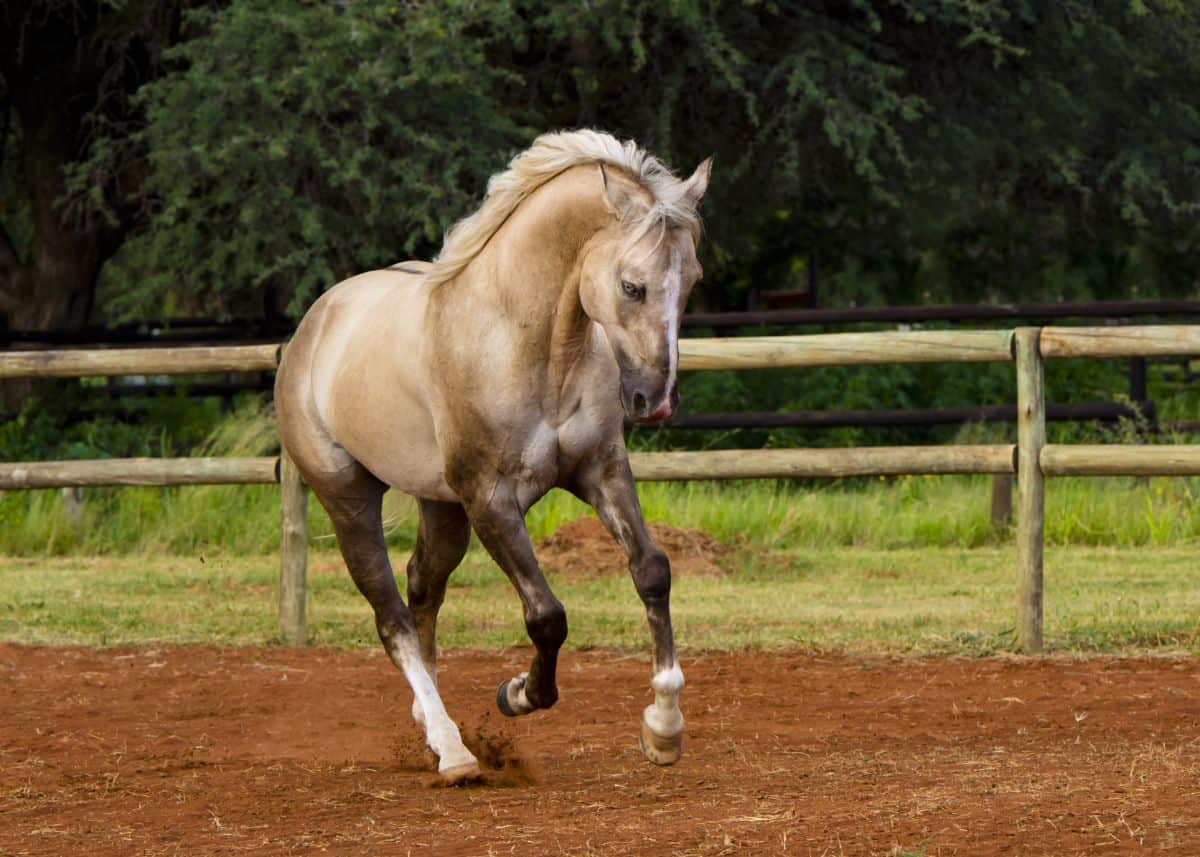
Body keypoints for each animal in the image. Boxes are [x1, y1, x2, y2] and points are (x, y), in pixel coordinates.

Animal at [278, 128, 710, 782]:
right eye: (631, 285)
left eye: (692, 283)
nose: (654, 402)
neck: (523, 343)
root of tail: (312, 327)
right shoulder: (491, 500)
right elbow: (546, 616)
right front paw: (519, 693)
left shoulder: (600, 472)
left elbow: (652, 571)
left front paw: (663, 728)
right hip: (348, 499)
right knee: (392, 618)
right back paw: (453, 750)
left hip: (440, 507)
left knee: (421, 588)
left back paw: (430, 724)